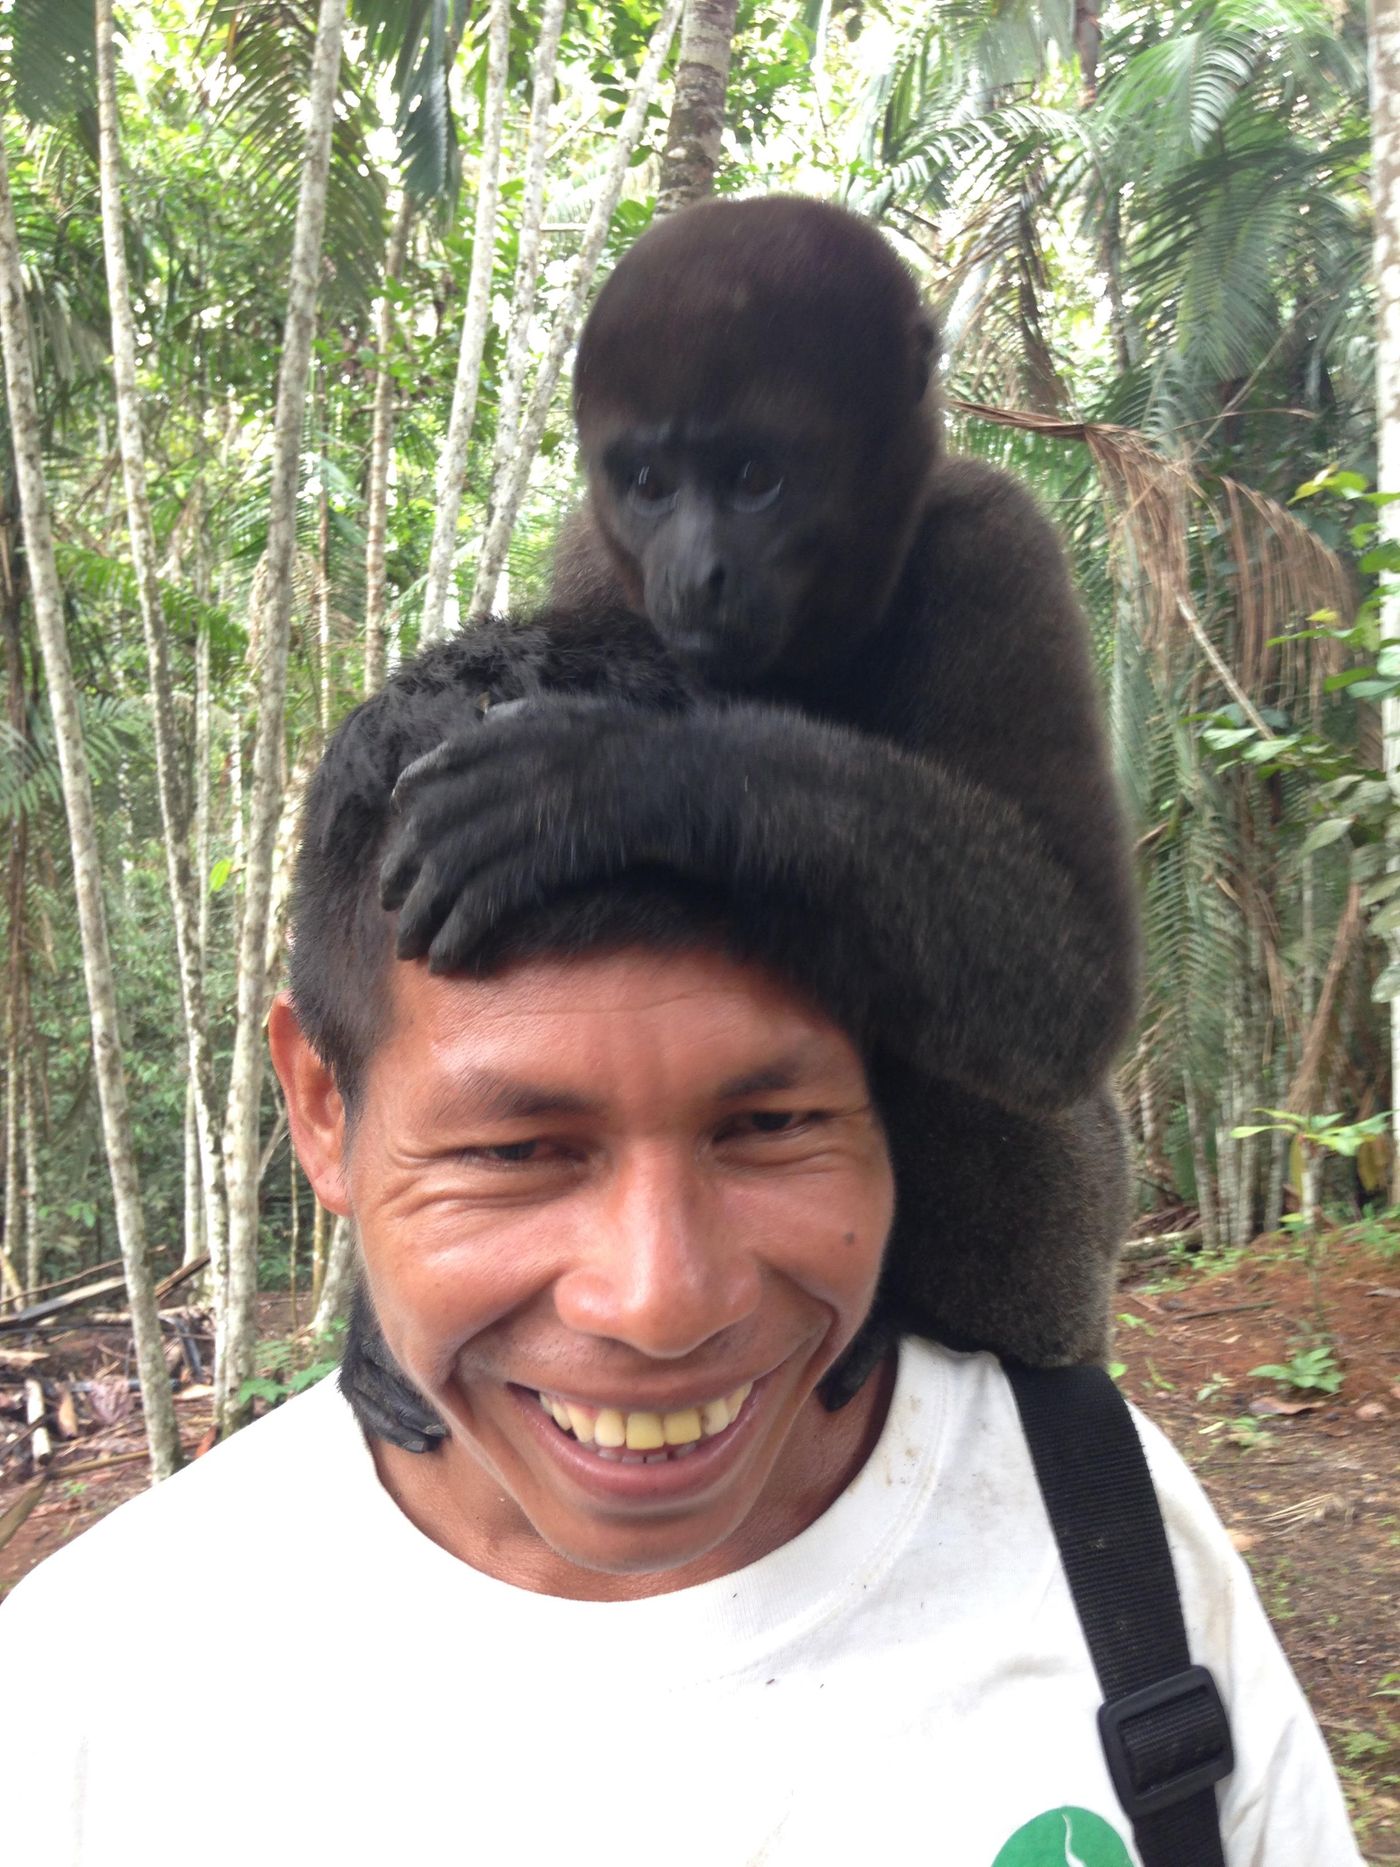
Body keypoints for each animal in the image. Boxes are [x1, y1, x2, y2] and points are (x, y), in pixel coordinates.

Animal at [349, 193, 1142, 1441]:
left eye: (755, 476)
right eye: (647, 483)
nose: (696, 573)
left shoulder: (996, 542)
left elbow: (1071, 984)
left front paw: (605, 779)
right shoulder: (592, 554)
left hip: (1079, 1247)